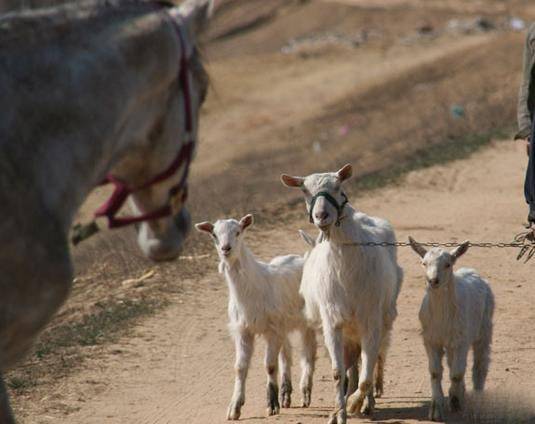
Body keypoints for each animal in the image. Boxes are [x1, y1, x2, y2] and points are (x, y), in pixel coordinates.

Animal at [196, 215, 318, 420]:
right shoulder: (243, 330)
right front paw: (235, 407)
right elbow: (239, 367)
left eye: (238, 232)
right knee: (286, 354)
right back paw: (286, 394)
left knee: (308, 353)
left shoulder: (272, 330)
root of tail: (303, 257)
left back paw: (306, 393)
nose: (226, 249)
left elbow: (269, 365)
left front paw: (272, 405)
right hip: (283, 324)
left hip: (307, 321)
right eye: (214, 235)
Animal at [284, 166, 402, 424]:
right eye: (304, 191)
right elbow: (339, 373)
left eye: (338, 187)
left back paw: (367, 403)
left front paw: (355, 403)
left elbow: (367, 374)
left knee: (370, 362)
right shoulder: (332, 323)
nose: (321, 216)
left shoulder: (371, 321)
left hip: (381, 319)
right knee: (353, 364)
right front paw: (339, 413)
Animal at [410, 237, 494, 422]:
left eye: (448, 264)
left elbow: (457, 373)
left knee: (479, 364)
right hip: (450, 341)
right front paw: (436, 409)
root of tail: (471, 271)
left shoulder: (462, 340)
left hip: (484, 328)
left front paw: (455, 402)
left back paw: (476, 398)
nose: (433, 281)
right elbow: (435, 372)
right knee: (451, 362)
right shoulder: (430, 339)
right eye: (424, 263)